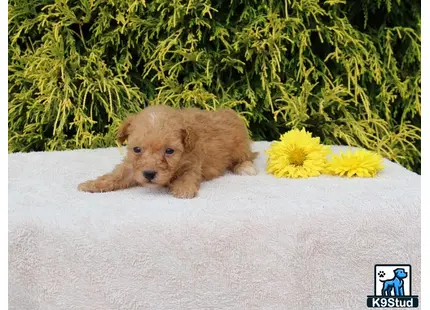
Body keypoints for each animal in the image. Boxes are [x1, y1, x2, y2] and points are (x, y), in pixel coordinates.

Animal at [77, 105, 256, 199]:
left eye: (169, 151)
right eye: (137, 149)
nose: (149, 174)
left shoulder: (192, 163)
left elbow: (188, 174)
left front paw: (183, 188)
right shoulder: (132, 167)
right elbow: (116, 175)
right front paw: (92, 184)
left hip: (240, 146)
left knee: (247, 157)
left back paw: (246, 168)